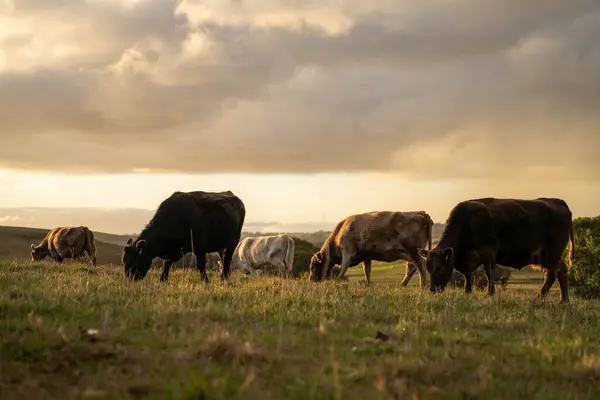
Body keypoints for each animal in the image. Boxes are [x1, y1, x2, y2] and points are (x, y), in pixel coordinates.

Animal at [420, 197, 576, 304]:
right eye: (428, 268)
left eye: (439, 268)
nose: (433, 290)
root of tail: (557, 201)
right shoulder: (468, 259)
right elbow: (468, 275)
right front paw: (467, 292)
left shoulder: (489, 251)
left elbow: (489, 272)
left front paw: (490, 293)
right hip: (550, 256)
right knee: (561, 270)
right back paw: (564, 300)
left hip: (552, 253)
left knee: (551, 274)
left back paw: (538, 298)